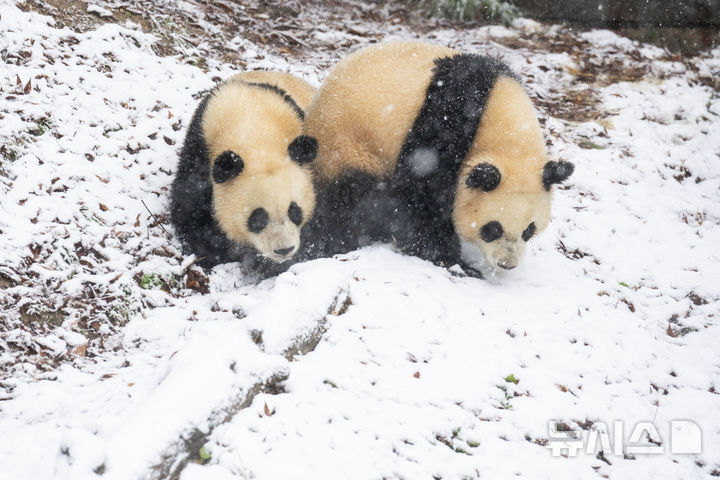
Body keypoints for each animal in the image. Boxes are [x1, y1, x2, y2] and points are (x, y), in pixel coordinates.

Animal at [300, 42, 572, 272]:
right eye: (492, 228)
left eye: (529, 230)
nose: (507, 264)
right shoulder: (446, 121)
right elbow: (420, 197)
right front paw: (457, 263)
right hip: (349, 147)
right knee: (352, 201)